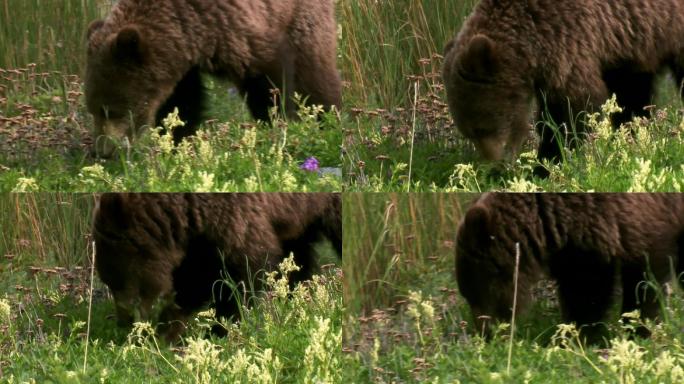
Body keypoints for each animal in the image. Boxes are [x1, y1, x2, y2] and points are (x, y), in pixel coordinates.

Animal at [85, 0, 342, 158]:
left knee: (314, 74)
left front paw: (277, 125)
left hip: (303, 19)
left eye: (110, 110)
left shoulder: (238, 29)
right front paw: (178, 142)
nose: (102, 151)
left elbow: (269, 83)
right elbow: (183, 103)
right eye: (93, 110)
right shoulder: (182, 65)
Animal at [92, 192, 342, 342]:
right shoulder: (198, 232)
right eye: (108, 281)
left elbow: (241, 276)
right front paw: (169, 328)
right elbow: (195, 277)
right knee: (299, 258)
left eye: (117, 281)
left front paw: (217, 329)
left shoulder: (236, 218)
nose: (123, 323)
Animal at [440, 0, 684, 176]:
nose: (495, 167)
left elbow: (569, 111)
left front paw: (544, 165)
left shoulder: (571, 40)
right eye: (469, 134)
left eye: (482, 128)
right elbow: (628, 95)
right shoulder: (619, 40)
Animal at [454, 194, 684, 344]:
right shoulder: (583, 243)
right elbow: (586, 289)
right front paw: (582, 333)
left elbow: (643, 281)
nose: (485, 335)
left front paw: (638, 329)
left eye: (473, 293)